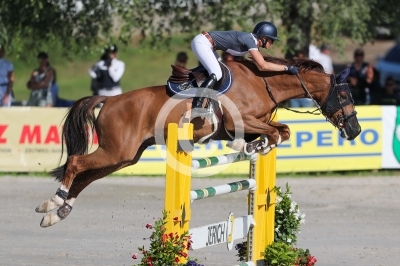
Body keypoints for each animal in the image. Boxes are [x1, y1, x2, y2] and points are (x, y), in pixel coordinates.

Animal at [35, 55, 362, 228]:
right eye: (344, 94)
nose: (356, 130)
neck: (262, 82)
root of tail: (109, 99)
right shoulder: (237, 122)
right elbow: (273, 133)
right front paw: (250, 146)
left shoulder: (257, 123)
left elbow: (281, 131)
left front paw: (255, 147)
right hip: (116, 150)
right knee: (76, 163)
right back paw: (54, 201)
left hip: (124, 156)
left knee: (86, 176)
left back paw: (57, 212)